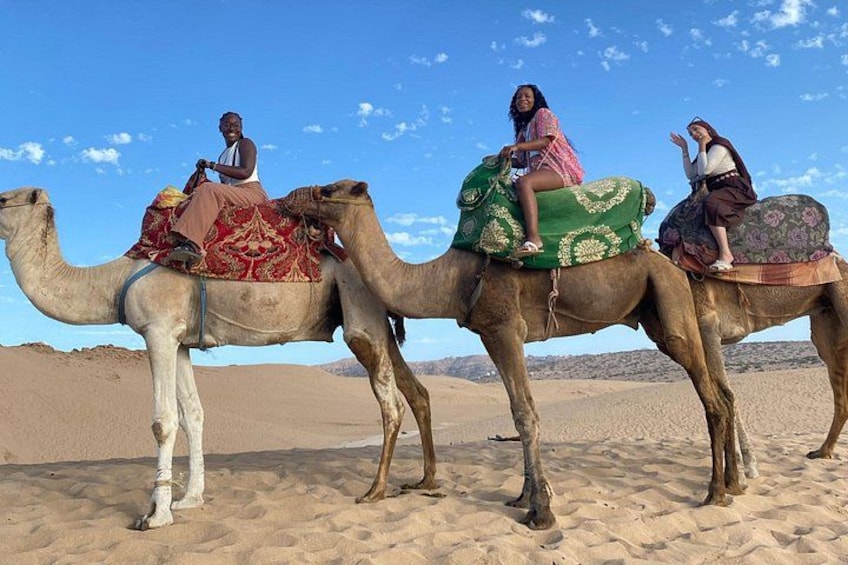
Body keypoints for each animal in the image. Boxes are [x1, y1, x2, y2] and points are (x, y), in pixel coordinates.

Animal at [0, 186, 437, 530]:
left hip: (359, 309)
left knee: (390, 402)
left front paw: (156, 515)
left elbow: (163, 422)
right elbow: (193, 414)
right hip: (376, 318)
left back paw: (375, 491)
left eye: (3, 198)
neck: (114, 281)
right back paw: (425, 482)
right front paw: (189, 499)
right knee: (416, 391)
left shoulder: (158, 330)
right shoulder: (179, 341)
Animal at [283, 180, 739, 530]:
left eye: (328, 189)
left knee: (713, 399)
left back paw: (715, 492)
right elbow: (516, 410)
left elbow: (525, 413)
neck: (448, 279)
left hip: (671, 305)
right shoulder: (490, 334)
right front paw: (523, 497)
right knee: (720, 392)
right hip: (659, 312)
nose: (287, 199)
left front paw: (541, 512)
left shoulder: (505, 328)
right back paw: (733, 484)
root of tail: (676, 266)